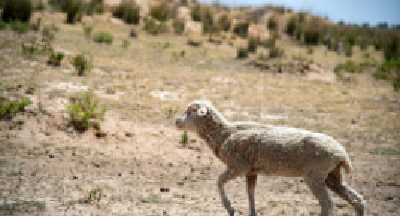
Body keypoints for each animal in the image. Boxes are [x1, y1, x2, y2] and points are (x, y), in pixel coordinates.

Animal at [175, 100, 366, 216]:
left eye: (192, 111)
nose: (176, 121)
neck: (224, 134)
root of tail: (342, 154)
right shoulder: (251, 171)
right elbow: (250, 193)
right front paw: (251, 213)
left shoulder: (239, 166)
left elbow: (219, 181)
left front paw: (230, 208)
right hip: (332, 176)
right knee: (358, 200)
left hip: (315, 175)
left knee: (327, 204)